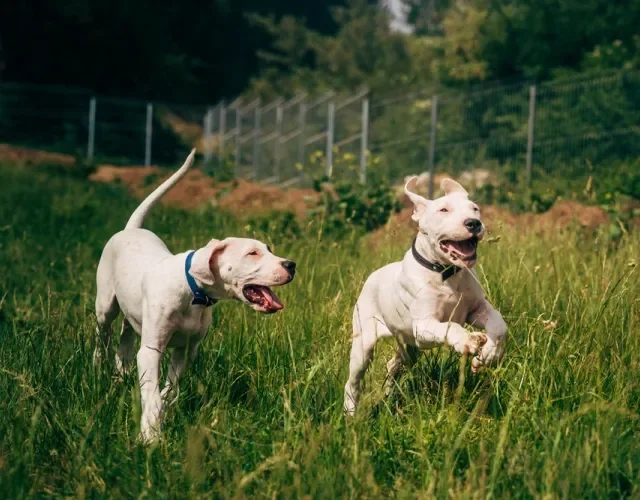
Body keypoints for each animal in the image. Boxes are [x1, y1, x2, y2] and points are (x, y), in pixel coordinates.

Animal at [342, 178, 508, 416]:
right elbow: (450, 326)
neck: (447, 274)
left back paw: (389, 395)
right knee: (353, 382)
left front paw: (489, 355)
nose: (474, 223)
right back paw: (350, 414)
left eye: (475, 209)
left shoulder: (477, 309)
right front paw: (468, 340)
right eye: (443, 210)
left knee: (393, 365)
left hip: (409, 347)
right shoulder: (424, 325)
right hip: (364, 345)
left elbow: (499, 325)